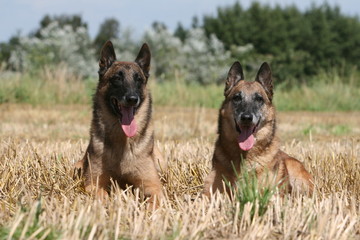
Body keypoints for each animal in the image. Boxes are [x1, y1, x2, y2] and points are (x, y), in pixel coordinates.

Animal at [76, 40, 167, 205]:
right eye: (117, 79)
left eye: (139, 80)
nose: (132, 99)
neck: (122, 140)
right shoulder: (92, 183)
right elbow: (101, 194)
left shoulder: (153, 185)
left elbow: (155, 200)